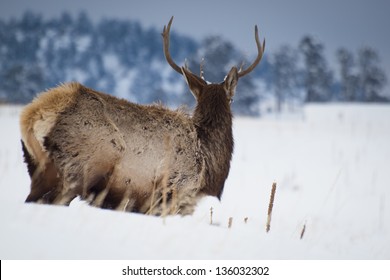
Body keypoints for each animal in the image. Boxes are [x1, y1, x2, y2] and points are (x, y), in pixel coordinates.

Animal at [19, 16, 266, 215]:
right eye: (231, 99)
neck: (207, 159)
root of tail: (34, 114)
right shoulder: (175, 191)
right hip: (78, 168)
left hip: (37, 167)